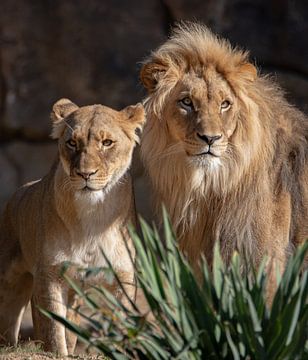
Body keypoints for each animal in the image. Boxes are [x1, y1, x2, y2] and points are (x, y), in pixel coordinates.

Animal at [0, 98, 144, 354]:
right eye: (72, 143)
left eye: (107, 143)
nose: (85, 174)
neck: (93, 215)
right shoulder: (50, 273)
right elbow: (54, 330)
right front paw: (57, 352)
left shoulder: (124, 275)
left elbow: (123, 324)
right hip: (10, 280)